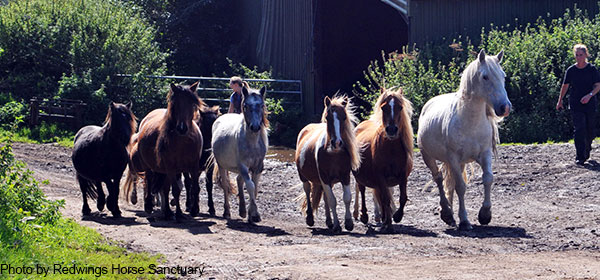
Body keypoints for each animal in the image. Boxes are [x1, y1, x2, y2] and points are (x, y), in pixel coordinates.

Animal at [124, 82, 204, 220]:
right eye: (175, 104)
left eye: (192, 104)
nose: (182, 128)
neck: (182, 142)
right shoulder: (171, 167)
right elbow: (175, 190)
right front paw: (178, 214)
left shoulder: (193, 166)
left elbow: (195, 187)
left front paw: (194, 210)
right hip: (151, 167)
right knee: (149, 181)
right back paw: (150, 206)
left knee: (164, 188)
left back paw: (167, 211)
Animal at [211, 85, 268, 223]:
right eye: (246, 106)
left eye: (261, 105)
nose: (255, 127)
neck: (252, 142)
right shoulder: (243, 166)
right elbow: (250, 186)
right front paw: (255, 215)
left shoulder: (257, 167)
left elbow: (255, 188)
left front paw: (251, 214)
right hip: (222, 165)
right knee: (226, 185)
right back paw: (227, 212)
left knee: (239, 180)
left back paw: (242, 210)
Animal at [294, 95, 358, 233]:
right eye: (328, 117)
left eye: (344, 117)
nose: (337, 143)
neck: (333, 153)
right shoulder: (324, 177)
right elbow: (332, 200)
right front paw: (337, 225)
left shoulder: (345, 176)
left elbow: (346, 197)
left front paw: (348, 222)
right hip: (304, 177)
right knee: (308, 191)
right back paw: (310, 218)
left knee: (324, 197)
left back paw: (329, 221)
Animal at [352, 87, 412, 232]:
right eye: (384, 107)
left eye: (400, 107)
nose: (391, 129)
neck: (391, 150)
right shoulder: (380, 176)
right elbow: (385, 199)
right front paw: (389, 224)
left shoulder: (403, 176)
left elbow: (402, 198)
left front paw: (396, 217)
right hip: (360, 177)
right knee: (362, 191)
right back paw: (364, 216)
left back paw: (383, 218)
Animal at [418, 49, 510, 230]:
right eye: (485, 77)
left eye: (503, 75)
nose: (505, 107)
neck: (470, 122)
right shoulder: (453, 158)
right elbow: (461, 187)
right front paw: (465, 220)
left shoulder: (484, 154)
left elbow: (488, 178)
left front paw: (485, 214)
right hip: (429, 157)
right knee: (439, 179)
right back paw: (447, 212)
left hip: (458, 163)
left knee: (450, 183)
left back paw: (451, 217)